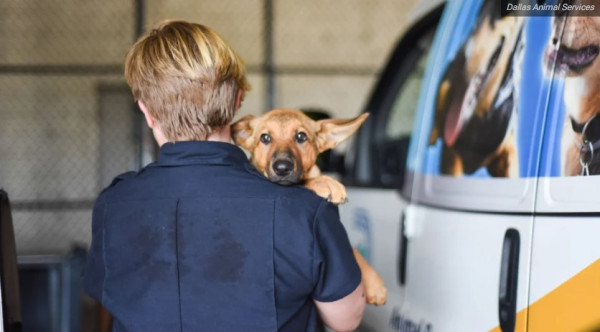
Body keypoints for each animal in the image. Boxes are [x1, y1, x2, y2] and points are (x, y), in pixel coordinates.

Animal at [232, 107, 386, 304]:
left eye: (301, 136)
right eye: (265, 138)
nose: (282, 168)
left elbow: (353, 249)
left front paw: (374, 281)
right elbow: (306, 182)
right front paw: (325, 182)